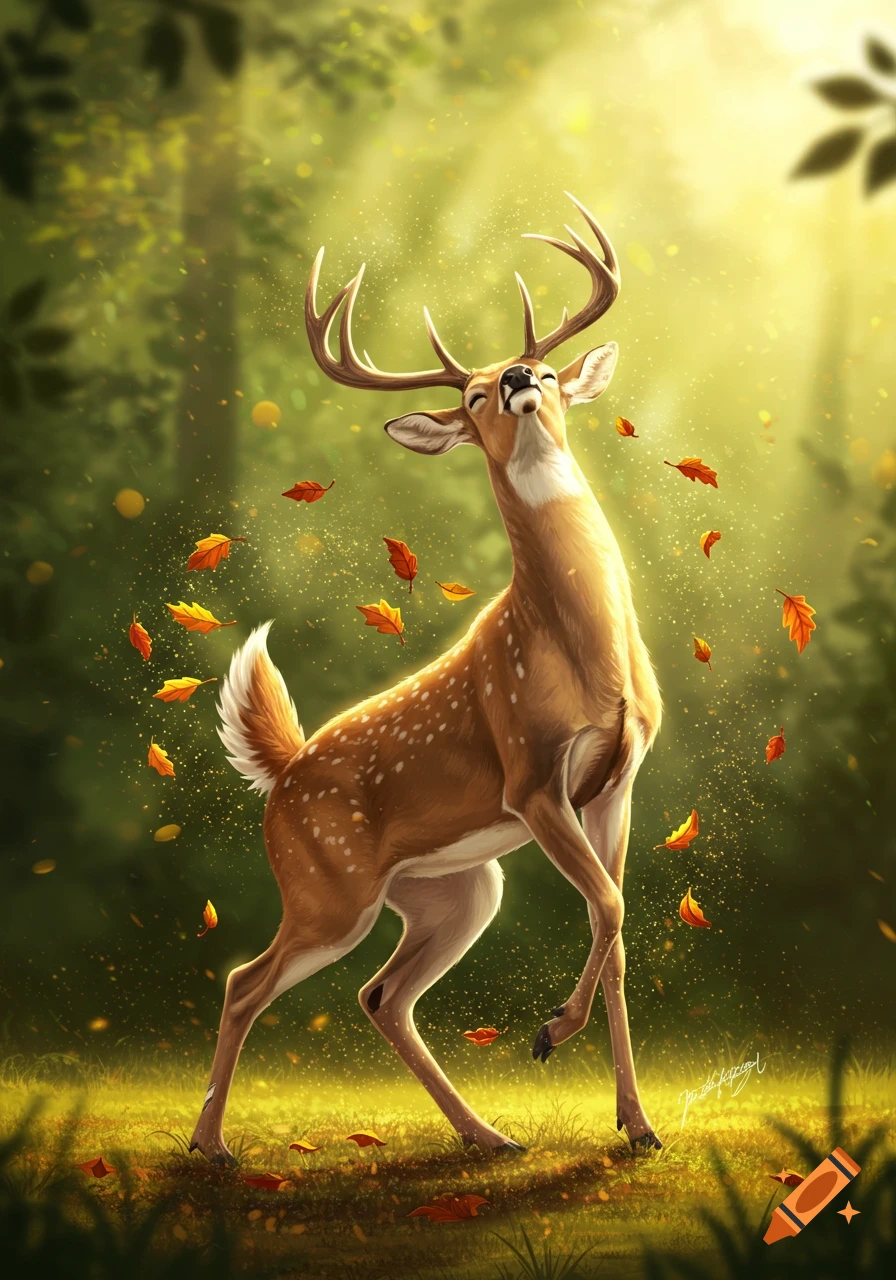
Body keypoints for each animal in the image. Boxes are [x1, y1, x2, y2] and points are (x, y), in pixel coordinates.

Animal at [189, 193, 663, 1164]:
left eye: (549, 372)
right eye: (473, 395)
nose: (515, 375)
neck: (589, 655)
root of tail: (280, 774)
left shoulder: (618, 780)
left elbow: (618, 928)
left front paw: (637, 1125)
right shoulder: (531, 777)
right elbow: (605, 904)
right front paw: (549, 1033)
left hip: (456, 888)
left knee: (382, 994)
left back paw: (489, 1136)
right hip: (328, 887)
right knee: (246, 978)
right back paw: (210, 1145)